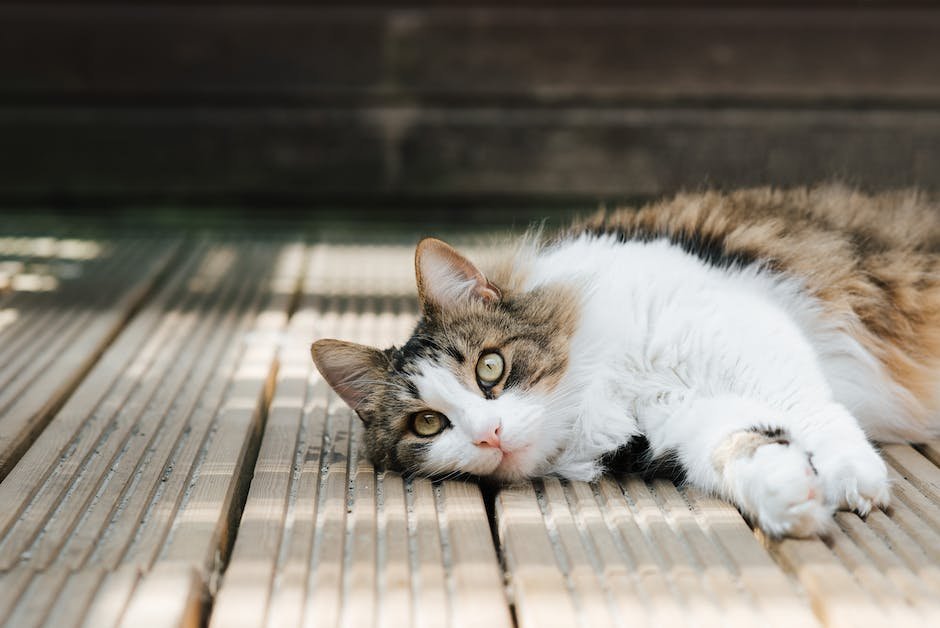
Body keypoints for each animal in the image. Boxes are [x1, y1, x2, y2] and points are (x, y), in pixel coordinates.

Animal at [310, 186, 940, 540]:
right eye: (427, 424)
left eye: (490, 369)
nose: (489, 435)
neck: (605, 388)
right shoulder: (682, 424)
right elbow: (740, 446)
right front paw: (791, 498)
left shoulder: (738, 325)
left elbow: (810, 408)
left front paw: (849, 476)